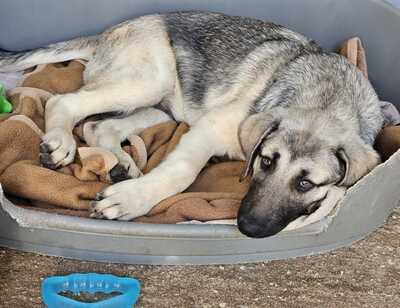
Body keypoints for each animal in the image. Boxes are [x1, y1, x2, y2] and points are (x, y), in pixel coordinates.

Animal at [0, 12, 384, 237]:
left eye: (306, 184)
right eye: (266, 161)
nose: (246, 227)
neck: (325, 97)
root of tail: (106, 33)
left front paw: (129, 192)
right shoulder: (209, 128)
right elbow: (181, 171)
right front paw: (132, 200)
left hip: (165, 108)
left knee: (98, 127)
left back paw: (120, 164)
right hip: (148, 82)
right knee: (64, 102)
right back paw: (61, 142)